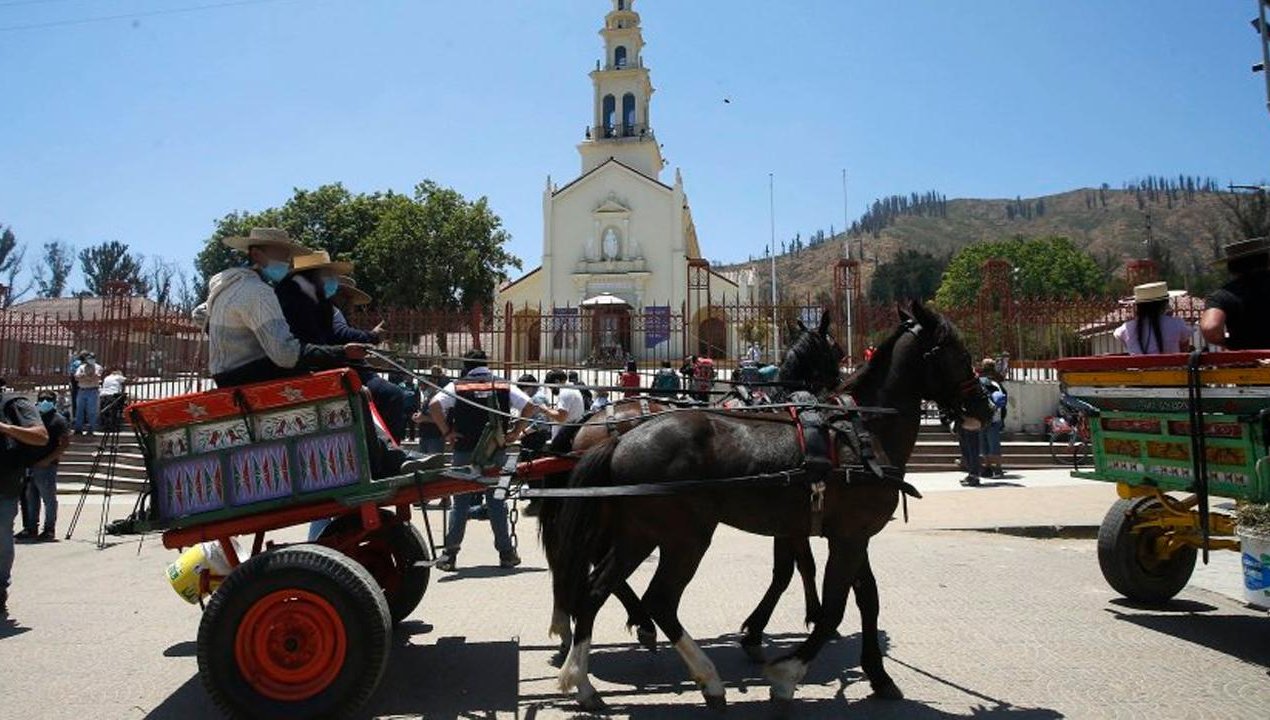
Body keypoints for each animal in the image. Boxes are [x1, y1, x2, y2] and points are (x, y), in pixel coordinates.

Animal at [551, 300, 985, 711]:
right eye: (960, 353)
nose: (985, 405)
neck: (864, 429)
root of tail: (618, 439)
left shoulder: (844, 533)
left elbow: (863, 597)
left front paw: (877, 674)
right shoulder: (845, 535)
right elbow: (828, 603)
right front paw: (786, 672)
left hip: (638, 534)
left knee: (597, 588)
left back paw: (584, 680)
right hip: (685, 537)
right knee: (658, 599)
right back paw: (704, 675)